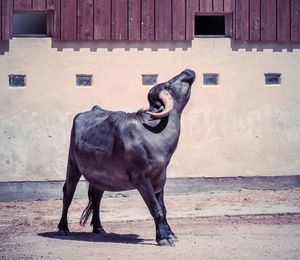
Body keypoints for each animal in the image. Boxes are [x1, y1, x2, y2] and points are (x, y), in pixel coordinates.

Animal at [57, 68, 196, 246]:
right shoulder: (142, 180)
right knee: (68, 193)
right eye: (169, 84)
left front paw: (170, 234)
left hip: (101, 177)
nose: (188, 70)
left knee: (96, 196)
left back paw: (98, 227)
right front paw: (163, 238)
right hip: (72, 165)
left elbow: (163, 209)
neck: (153, 133)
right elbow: (156, 209)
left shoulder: (160, 178)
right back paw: (63, 228)